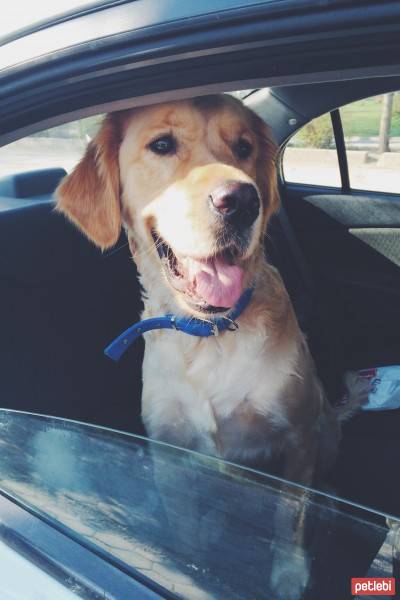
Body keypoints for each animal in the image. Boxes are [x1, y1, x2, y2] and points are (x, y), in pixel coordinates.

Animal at [56, 96, 342, 596]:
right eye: (162, 145)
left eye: (244, 147)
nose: (242, 201)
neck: (210, 334)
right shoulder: (168, 452)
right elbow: (183, 529)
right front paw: (188, 571)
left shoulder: (299, 435)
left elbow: (290, 513)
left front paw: (289, 574)